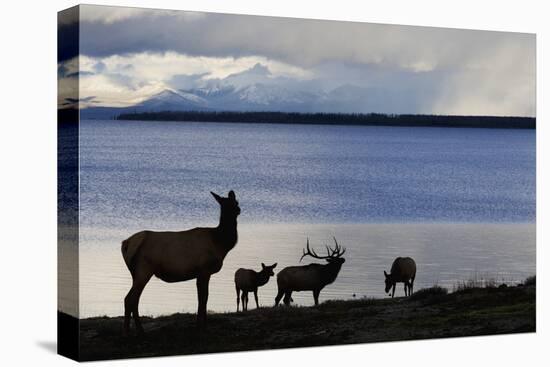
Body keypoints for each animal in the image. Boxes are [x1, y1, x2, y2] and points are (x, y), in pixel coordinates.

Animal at [121, 191, 242, 334]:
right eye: (225, 205)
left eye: (236, 202)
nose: (238, 210)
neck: (221, 244)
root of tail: (126, 244)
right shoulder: (204, 270)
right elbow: (203, 298)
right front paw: (201, 327)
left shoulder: (202, 273)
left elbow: (203, 298)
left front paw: (201, 325)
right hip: (144, 270)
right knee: (130, 299)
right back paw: (129, 331)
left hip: (136, 273)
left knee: (134, 299)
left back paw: (138, 330)